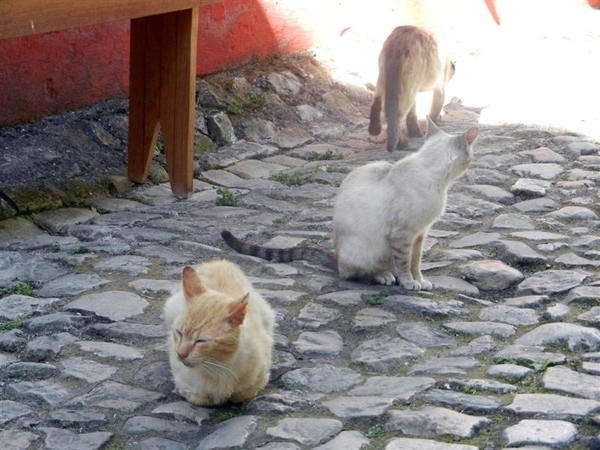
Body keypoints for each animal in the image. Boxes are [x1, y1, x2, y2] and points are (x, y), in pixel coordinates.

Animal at [164, 258, 276, 406]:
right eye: (179, 333)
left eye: (201, 341)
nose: (180, 354)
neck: (219, 366)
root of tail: (219, 261)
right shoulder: (184, 384)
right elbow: (204, 399)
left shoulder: (261, 377)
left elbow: (241, 395)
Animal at [220, 117, 478, 292]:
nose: (472, 164)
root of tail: (337, 257)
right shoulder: (404, 235)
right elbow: (405, 264)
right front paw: (410, 283)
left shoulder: (420, 234)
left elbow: (416, 262)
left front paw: (421, 281)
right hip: (364, 251)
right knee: (352, 273)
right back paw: (383, 276)